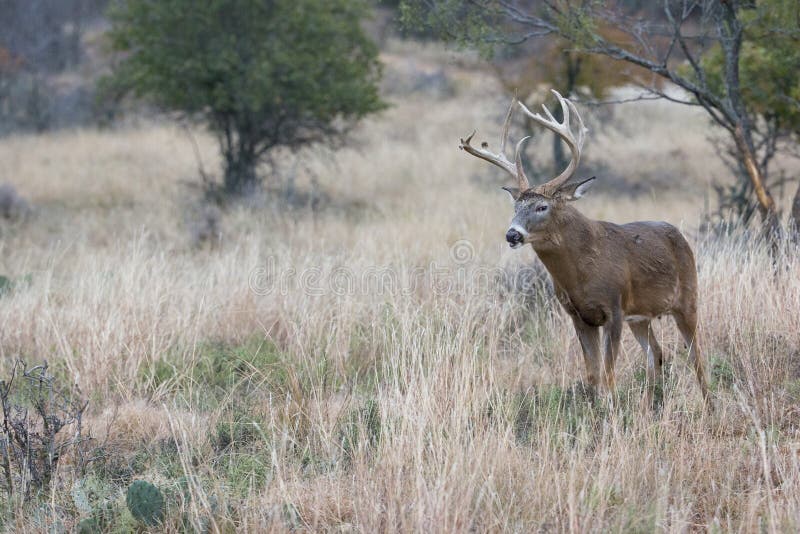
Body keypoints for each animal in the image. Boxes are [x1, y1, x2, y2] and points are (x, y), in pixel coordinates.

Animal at [460, 90, 708, 404]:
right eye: (515, 207)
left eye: (542, 206)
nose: (512, 235)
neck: (583, 271)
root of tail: (680, 236)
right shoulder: (579, 316)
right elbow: (593, 376)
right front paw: (595, 408)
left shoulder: (614, 307)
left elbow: (610, 374)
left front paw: (612, 410)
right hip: (641, 316)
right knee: (657, 353)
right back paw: (653, 403)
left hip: (688, 298)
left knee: (696, 356)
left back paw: (708, 405)